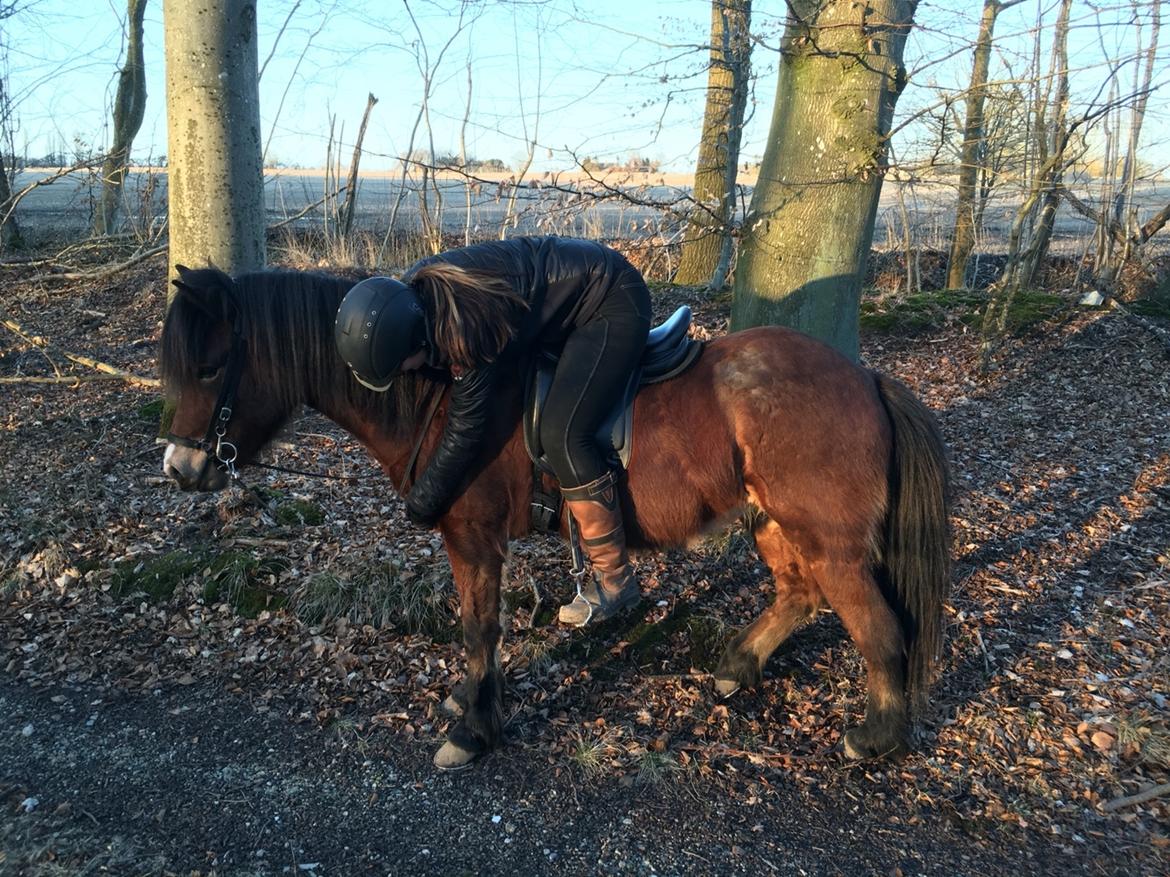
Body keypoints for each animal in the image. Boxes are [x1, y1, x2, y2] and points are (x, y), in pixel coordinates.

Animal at [160, 266, 950, 767]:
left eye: (209, 367)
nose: (180, 468)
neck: (435, 395)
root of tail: (865, 377)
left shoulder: (474, 539)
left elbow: (479, 628)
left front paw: (475, 729)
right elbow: (477, 630)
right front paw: (470, 701)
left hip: (828, 539)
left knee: (878, 628)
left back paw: (875, 738)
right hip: (774, 523)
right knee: (799, 594)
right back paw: (737, 666)